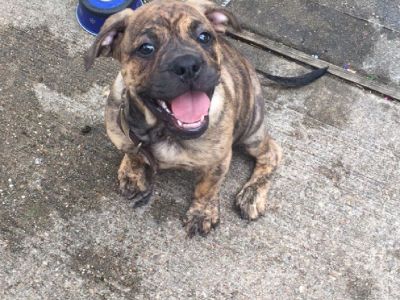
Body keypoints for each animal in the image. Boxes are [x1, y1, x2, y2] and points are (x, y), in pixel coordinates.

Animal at [86, 0, 322, 237]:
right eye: (146, 49)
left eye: (204, 37)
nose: (187, 65)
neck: (163, 131)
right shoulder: (124, 134)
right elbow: (133, 154)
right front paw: (133, 172)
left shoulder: (217, 161)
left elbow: (207, 188)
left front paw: (202, 213)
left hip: (250, 131)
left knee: (271, 153)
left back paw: (252, 194)